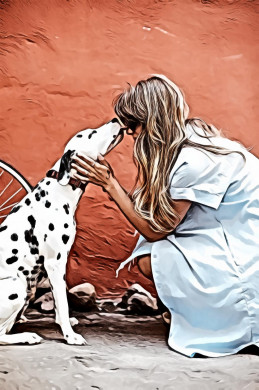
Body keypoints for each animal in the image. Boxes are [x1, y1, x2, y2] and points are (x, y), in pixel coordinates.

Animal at [0, 118, 124, 344]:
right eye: (91, 133)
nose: (116, 119)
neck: (60, 189)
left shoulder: (59, 262)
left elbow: (60, 300)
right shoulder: (55, 263)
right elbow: (63, 302)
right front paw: (70, 335)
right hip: (17, 286)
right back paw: (26, 336)